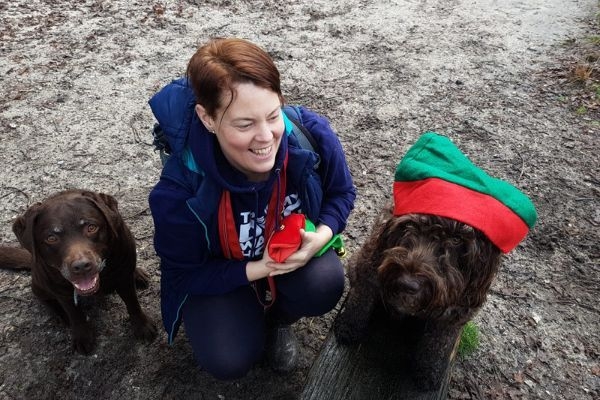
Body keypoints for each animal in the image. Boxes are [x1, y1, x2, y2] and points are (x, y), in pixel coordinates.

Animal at [336, 206, 504, 388]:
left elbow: (437, 345)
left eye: (457, 240)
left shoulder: (455, 313)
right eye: (409, 225)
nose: (408, 284)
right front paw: (348, 327)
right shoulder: (371, 264)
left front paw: (428, 370)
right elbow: (360, 301)